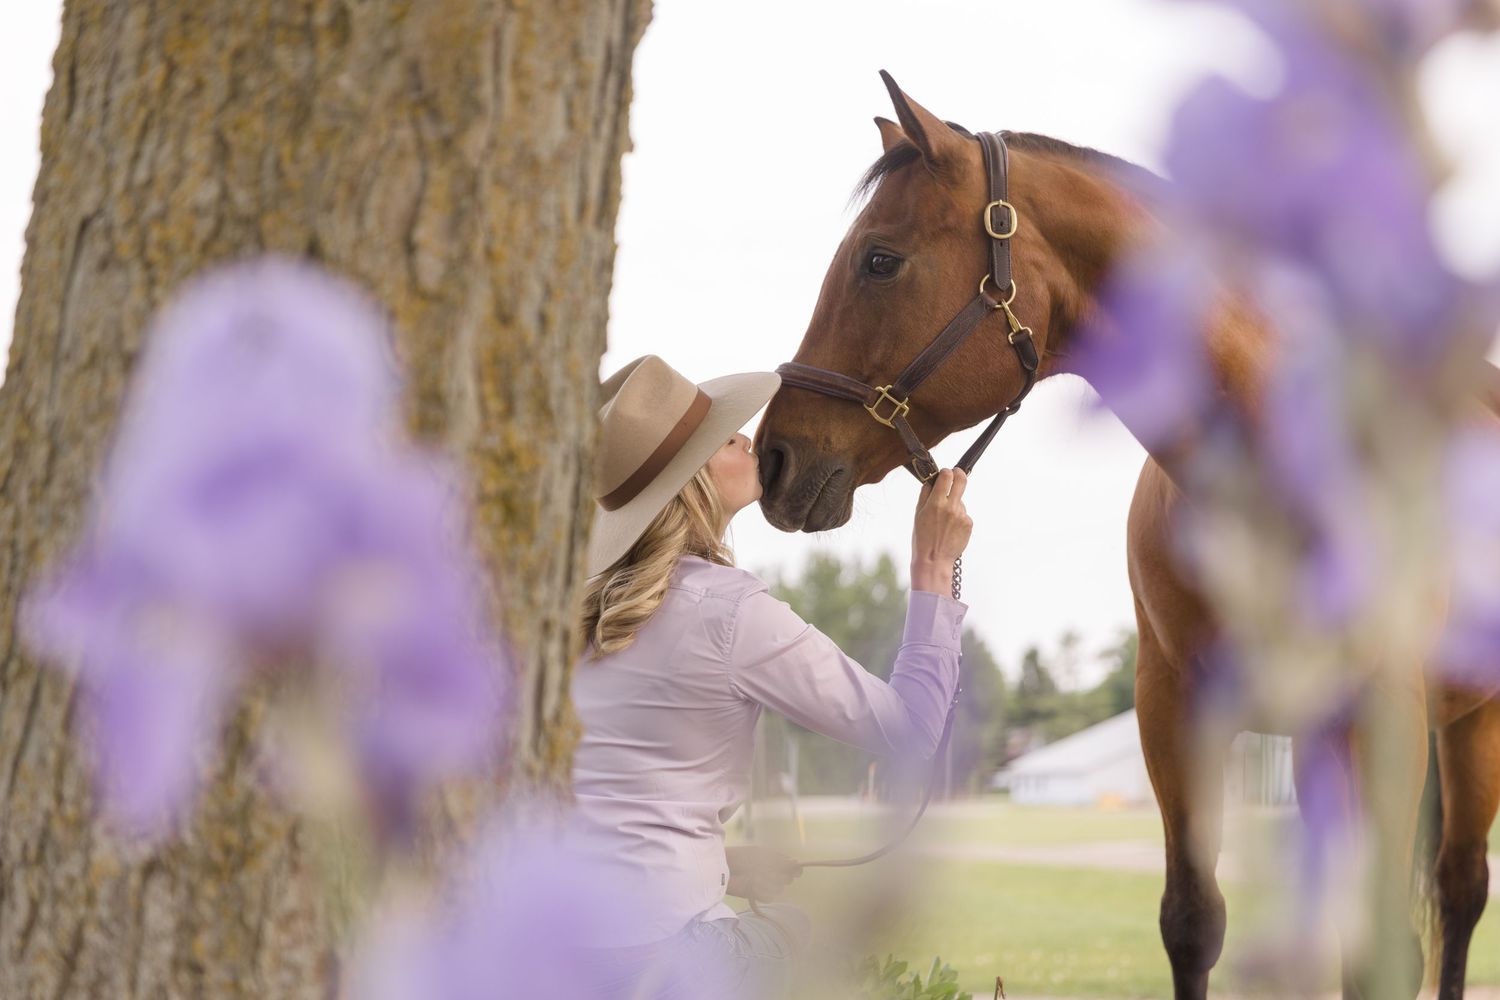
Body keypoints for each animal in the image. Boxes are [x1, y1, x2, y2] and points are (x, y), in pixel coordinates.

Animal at [753, 73, 1500, 1000]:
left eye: (879, 260)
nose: (774, 458)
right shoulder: (1173, 710)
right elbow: (1192, 921)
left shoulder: (1383, 715)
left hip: (1470, 729)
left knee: (1460, 890)